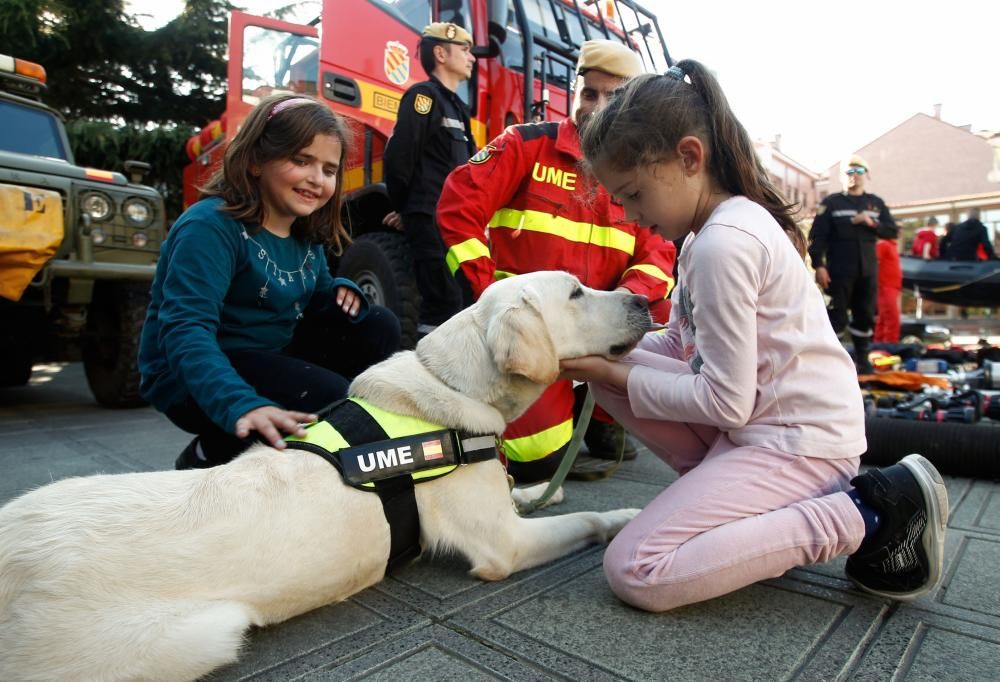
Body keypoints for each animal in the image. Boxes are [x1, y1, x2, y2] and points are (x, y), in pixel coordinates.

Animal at [0, 270, 648, 680]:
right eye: (576, 291)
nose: (643, 299)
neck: (450, 385)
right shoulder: (503, 547)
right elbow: (584, 519)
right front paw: (625, 517)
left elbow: (528, 491)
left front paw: (545, 487)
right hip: (202, 634)